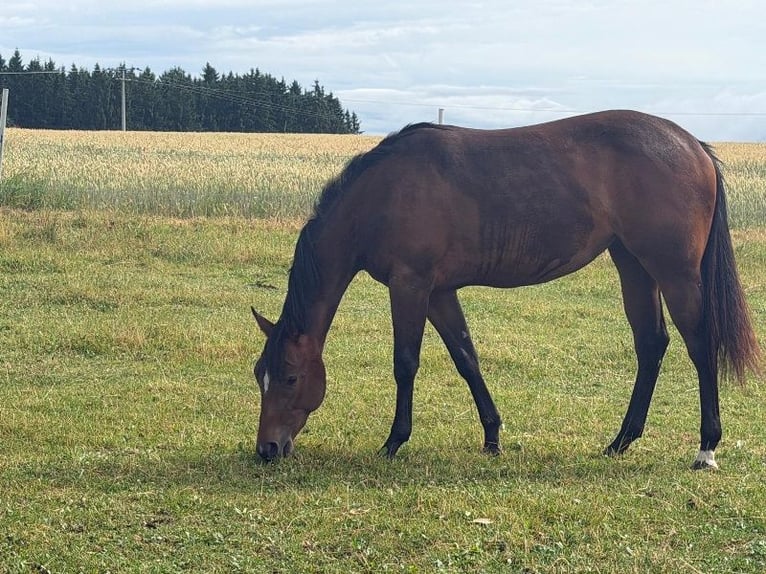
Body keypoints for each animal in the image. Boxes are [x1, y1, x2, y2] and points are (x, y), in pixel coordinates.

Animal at [250, 109, 760, 470]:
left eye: (291, 377)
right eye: (261, 375)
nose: (268, 448)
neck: (382, 193)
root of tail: (693, 145)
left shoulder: (410, 285)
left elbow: (406, 363)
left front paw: (394, 441)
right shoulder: (440, 292)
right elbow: (466, 358)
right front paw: (492, 435)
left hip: (675, 272)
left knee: (700, 345)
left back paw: (706, 448)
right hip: (633, 264)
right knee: (651, 344)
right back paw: (620, 442)